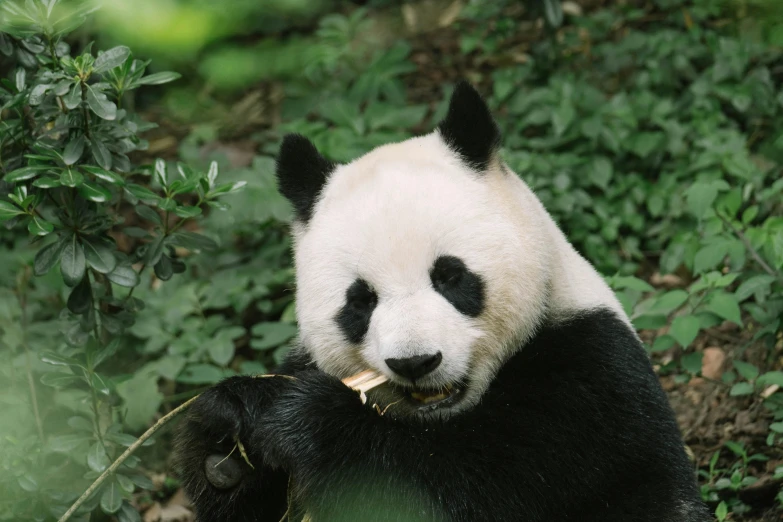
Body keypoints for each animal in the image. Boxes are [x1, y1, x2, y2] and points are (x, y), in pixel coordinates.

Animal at [175, 81, 712, 520]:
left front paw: (309, 422)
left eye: (450, 277)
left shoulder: (589, 381)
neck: (436, 419)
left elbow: (472, 486)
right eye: (361, 301)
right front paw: (228, 429)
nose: (415, 362)